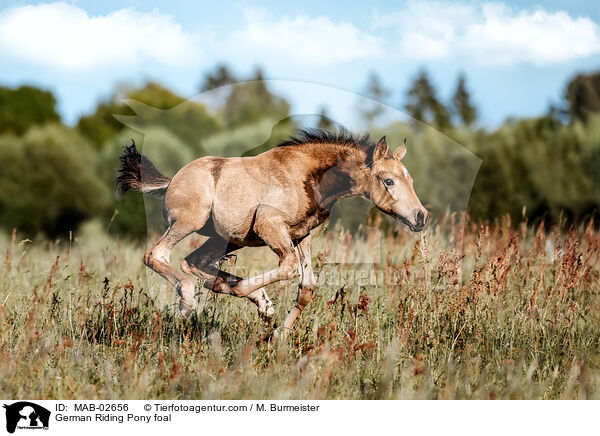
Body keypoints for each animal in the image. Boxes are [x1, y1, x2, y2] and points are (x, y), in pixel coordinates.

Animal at [116, 127, 426, 336]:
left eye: (411, 180)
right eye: (388, 181)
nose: (421, 217)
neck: (310, 177)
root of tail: (171, 181)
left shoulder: (301, 235)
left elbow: (307, 286)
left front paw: (278, 335)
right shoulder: (270, 224)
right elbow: (287, 268)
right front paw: (253, 301)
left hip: (227, 239)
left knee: (194, 262)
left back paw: (247, 298)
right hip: (187, 222)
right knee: (157, 255)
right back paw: (189, 301)